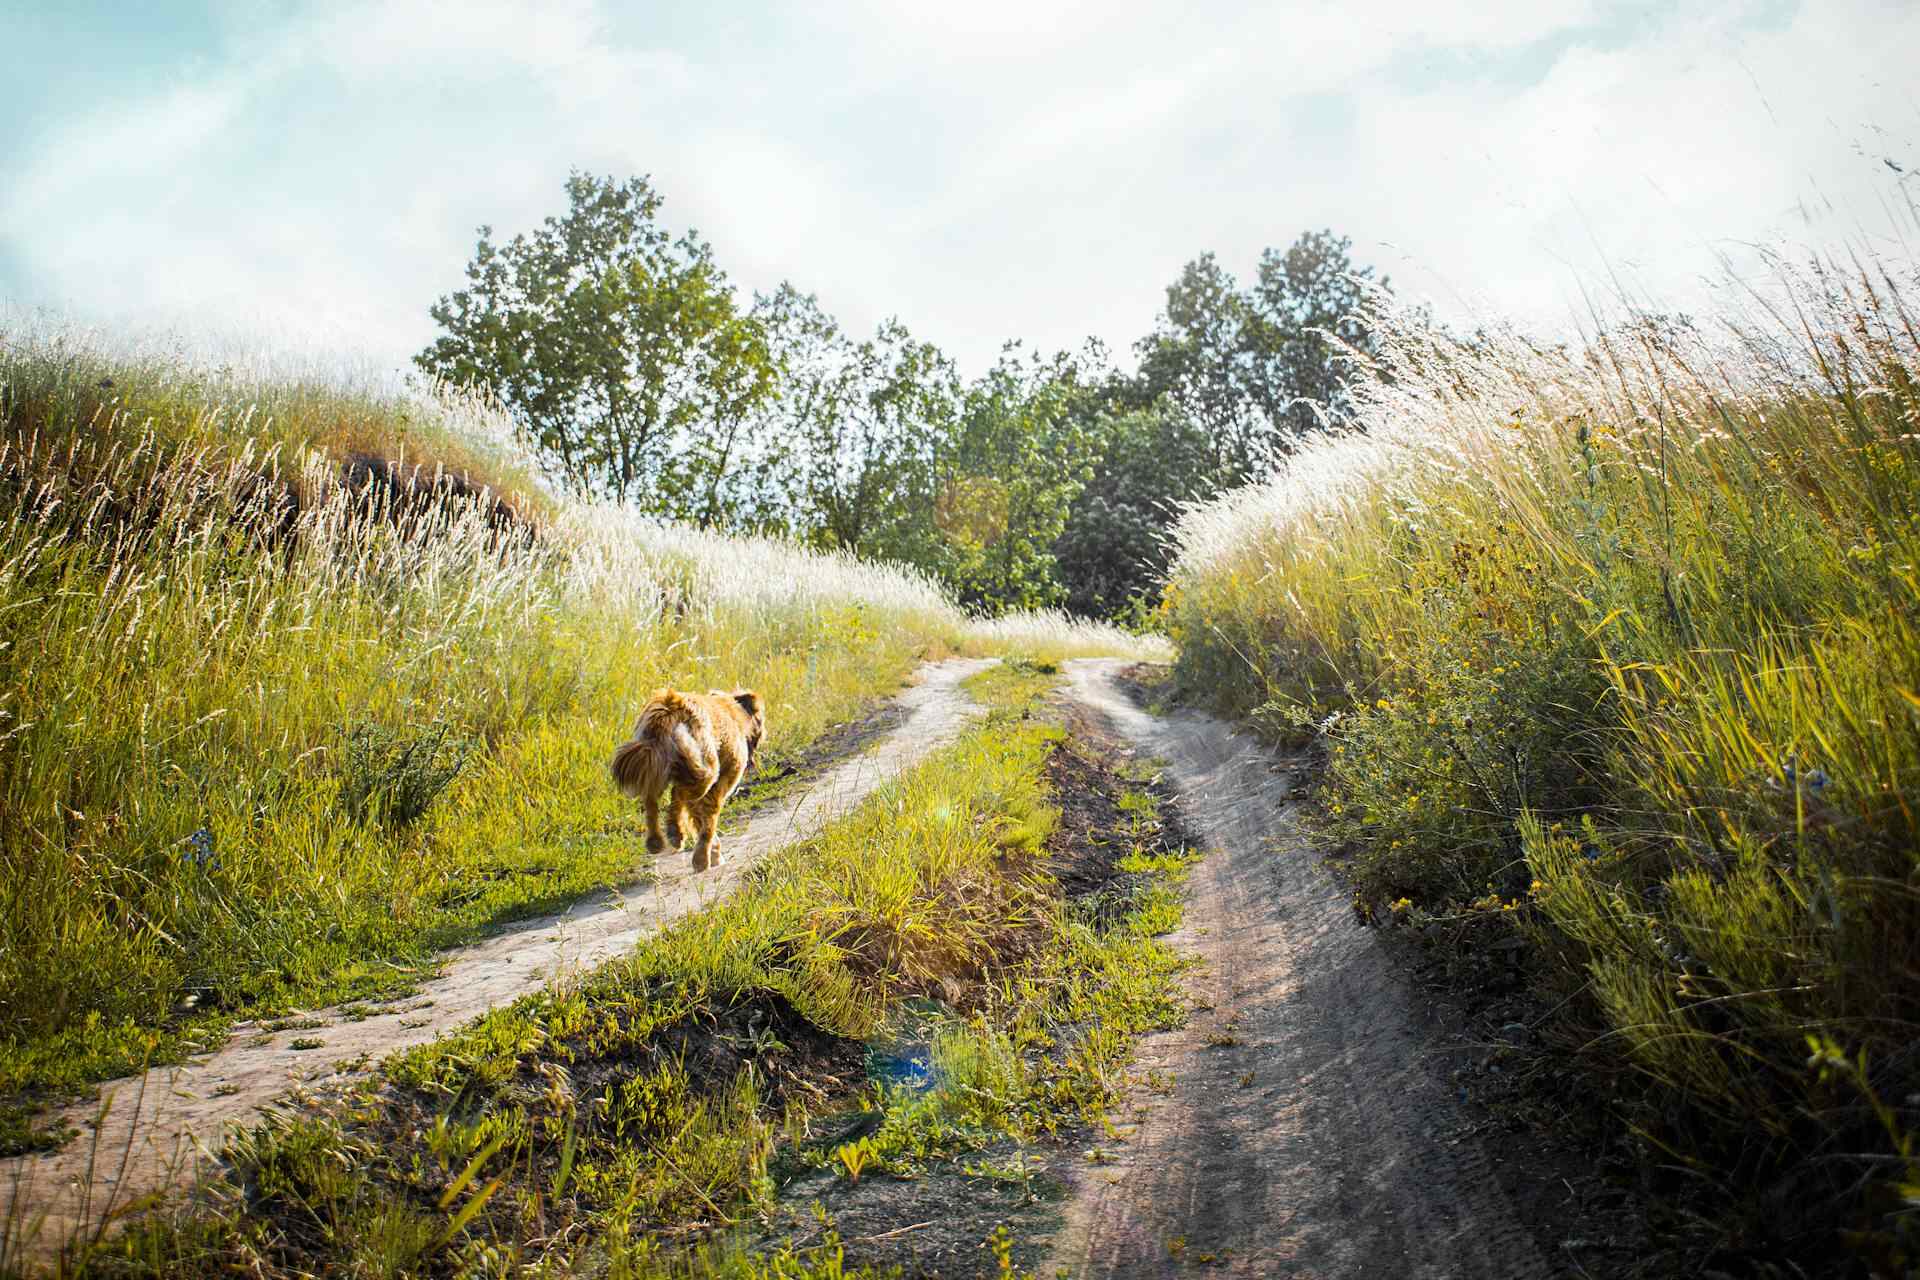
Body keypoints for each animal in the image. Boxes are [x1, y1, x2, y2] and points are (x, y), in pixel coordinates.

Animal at [614, 690, 764, 871]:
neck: (733, 711)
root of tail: (670, 705)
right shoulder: (719, 787)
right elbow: (708, 826)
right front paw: (704, 859)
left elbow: (699, 821)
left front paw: (711, 852)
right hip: (706, 771)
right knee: (677, 794)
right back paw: (675, 833)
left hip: (654, 766)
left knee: (652, 802)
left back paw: (656, 841)